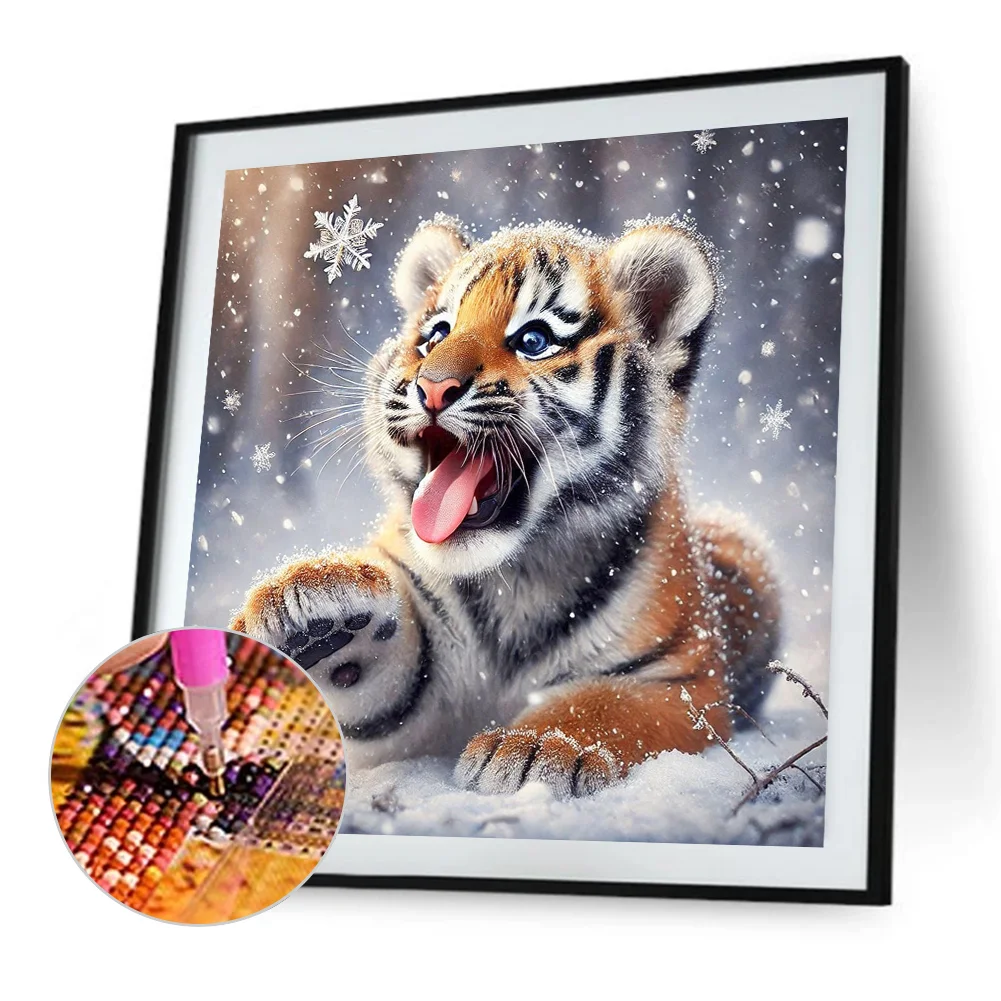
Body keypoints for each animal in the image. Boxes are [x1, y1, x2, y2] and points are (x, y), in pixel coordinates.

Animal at [231, 215, 781, 799]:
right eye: (436, 334)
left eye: (533, 340)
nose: (432, 388)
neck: (518, 576)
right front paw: (309, 603)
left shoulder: (681, 679)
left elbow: (607, 702)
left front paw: (536, 747)